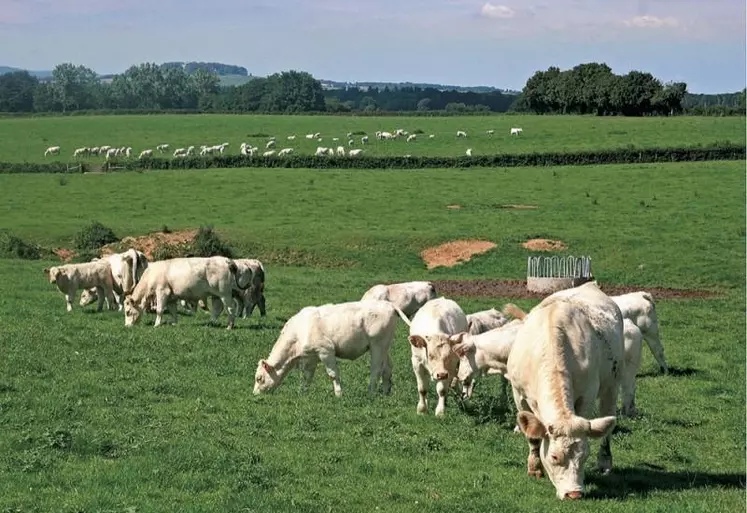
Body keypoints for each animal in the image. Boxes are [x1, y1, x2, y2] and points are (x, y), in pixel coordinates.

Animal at [122, 256, 251, 328]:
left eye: (128, 312)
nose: (127, 326)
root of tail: (226, 260)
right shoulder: (171, 297)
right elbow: (173, 311)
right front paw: (174, 323)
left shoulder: (162, 292)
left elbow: (159, 310)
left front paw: (157, 324)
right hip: (217, 295)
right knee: (217, 309)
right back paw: (210, 323)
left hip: (225, 293)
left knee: (231, 307)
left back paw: (230, 326)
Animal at [254, 300, 412, 396]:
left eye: (259, 378)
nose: (255, 395)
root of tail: (388, 304)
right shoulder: (310, 357)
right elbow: (307, 376)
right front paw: (303, 392)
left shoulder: (326, 351)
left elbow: (333, 374)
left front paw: (338, 394)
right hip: (384, 347)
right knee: (387, 368)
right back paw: (385, 392)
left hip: (377, 346)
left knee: (376, 370)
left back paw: (370, 392)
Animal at [508, 280, 624, 500]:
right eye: (554, 456)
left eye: (584, 455)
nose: (575, 494)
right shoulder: (519, 394)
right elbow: (532, 436)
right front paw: (534, 468)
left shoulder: (586, 394)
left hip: (612, 385)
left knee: (607, 426)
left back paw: (605, 462)